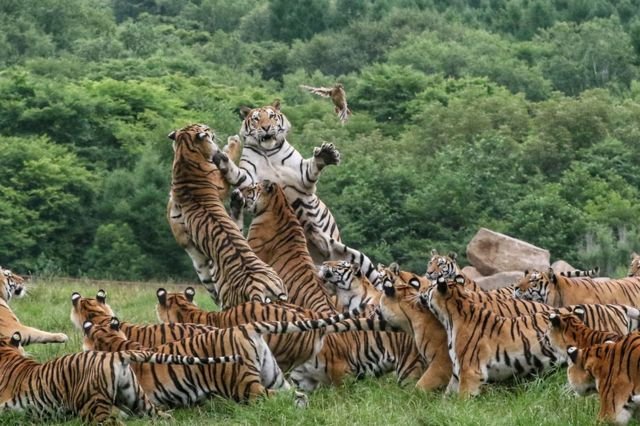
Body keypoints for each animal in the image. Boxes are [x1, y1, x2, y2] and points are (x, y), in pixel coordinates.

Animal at [168, 123, 287, 307]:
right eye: (205, 128)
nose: (211, 129)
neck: (184, 154)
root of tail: (257, 287)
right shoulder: (221, 184)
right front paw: (234, 142)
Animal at [423, 276, 567, 397]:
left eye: (431, 286)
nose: (423, 290)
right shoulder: (457, 373)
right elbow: (447, 398)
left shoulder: (471, 372)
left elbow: (462, 400)